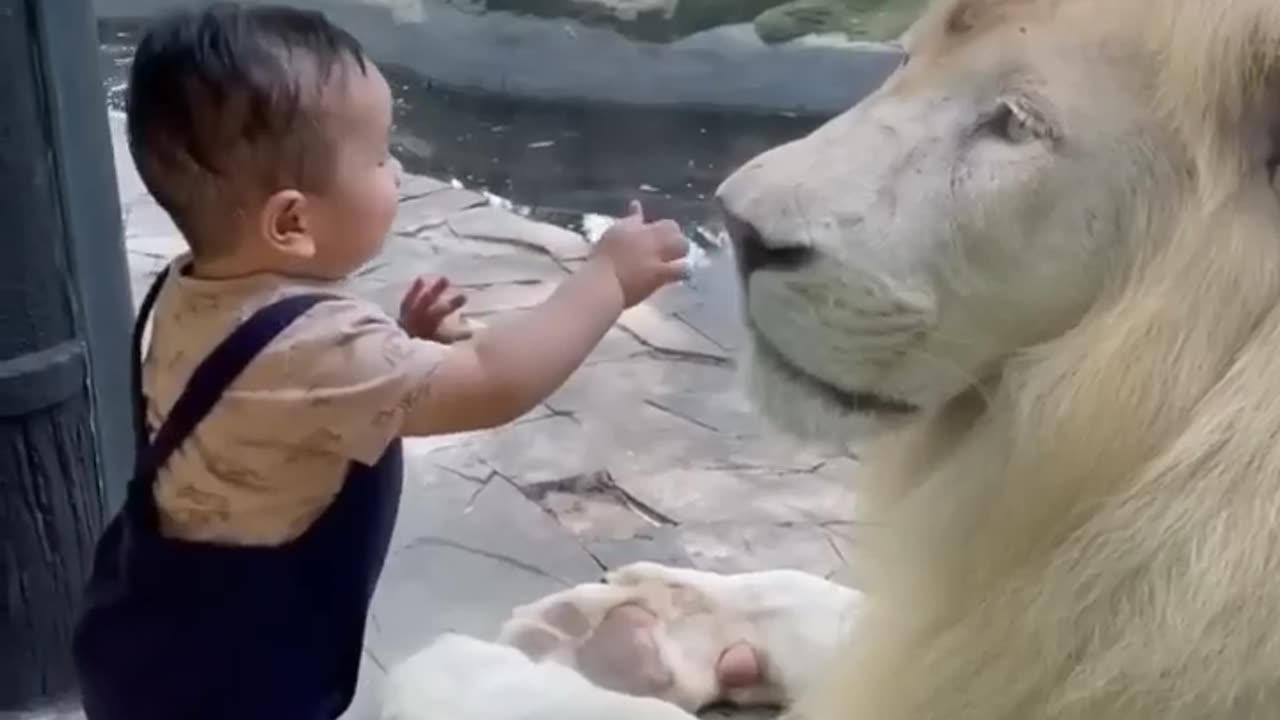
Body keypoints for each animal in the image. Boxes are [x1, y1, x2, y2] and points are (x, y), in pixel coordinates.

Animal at [381, 0, 1280, 712]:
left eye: (1015, 123)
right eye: (909, 57)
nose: (739, 231)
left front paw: (475, 668)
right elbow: (846, 606)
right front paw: (635, 623)